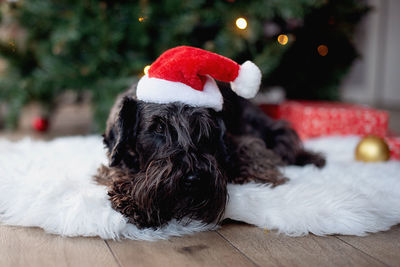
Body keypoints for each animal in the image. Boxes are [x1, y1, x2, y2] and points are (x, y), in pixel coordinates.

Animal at [96, 82, 324, 229]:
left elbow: (253, 158)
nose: (193, 179)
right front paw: (132, 199)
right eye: (159, 127)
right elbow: (117, 172)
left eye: (202, 128)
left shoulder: (246, 144)